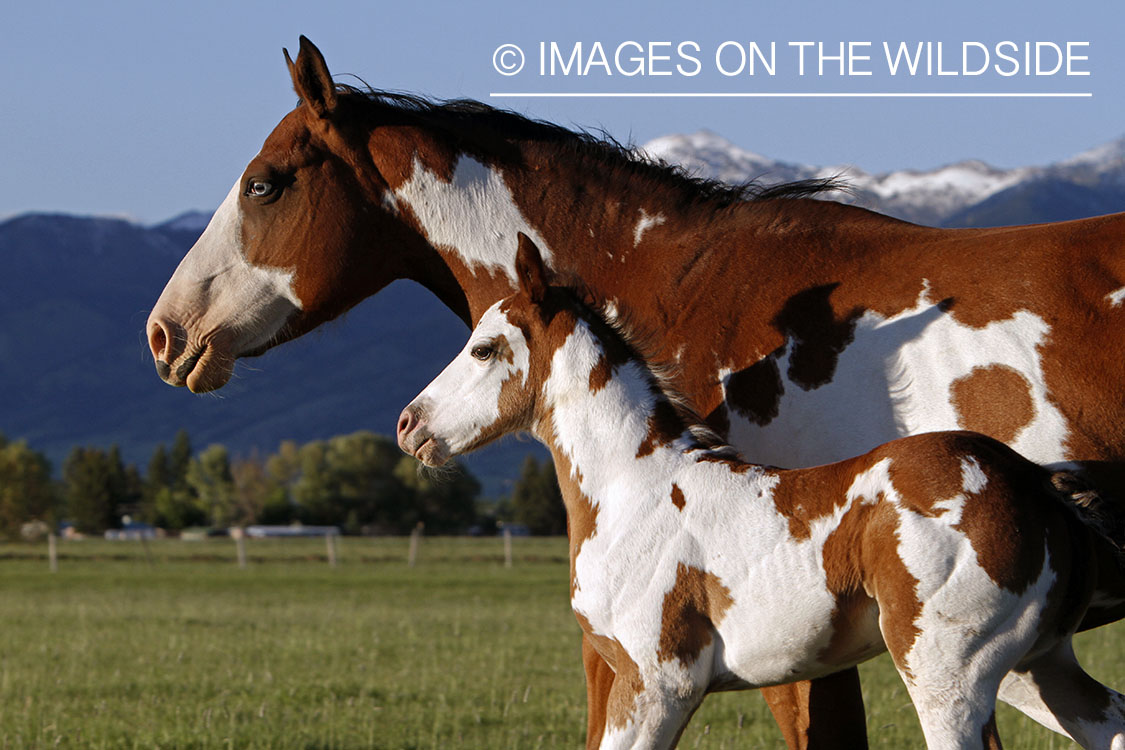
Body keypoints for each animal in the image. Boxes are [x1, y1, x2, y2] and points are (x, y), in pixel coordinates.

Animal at [397, 233, 1125, 750]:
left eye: (484, 348)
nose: (410, 425)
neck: (635, 490)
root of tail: (1037, 485)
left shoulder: (658, 683)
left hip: (949, 674)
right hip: (1038, 664)